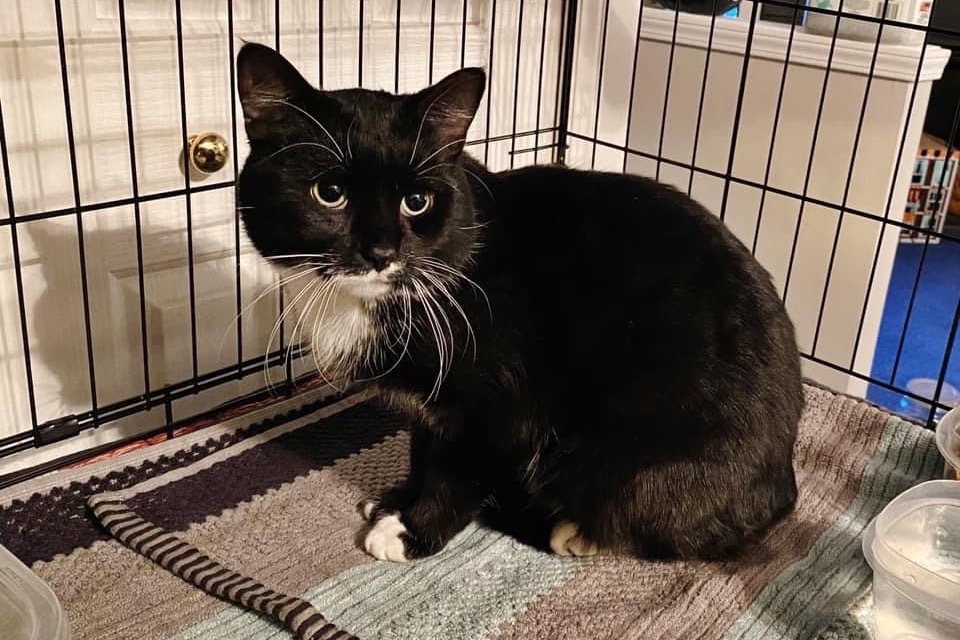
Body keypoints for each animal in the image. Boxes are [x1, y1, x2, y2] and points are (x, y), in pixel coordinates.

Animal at [236, 42, 804, 562]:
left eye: (416, 201)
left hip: (625, 459)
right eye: (329, 193)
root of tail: (781, 490)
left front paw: (415, 529)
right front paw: (397, 499)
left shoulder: (498, 400)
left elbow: (457, 469)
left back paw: (567, 528)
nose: (380, 252)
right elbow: (423, 447)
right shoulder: (430, 403)